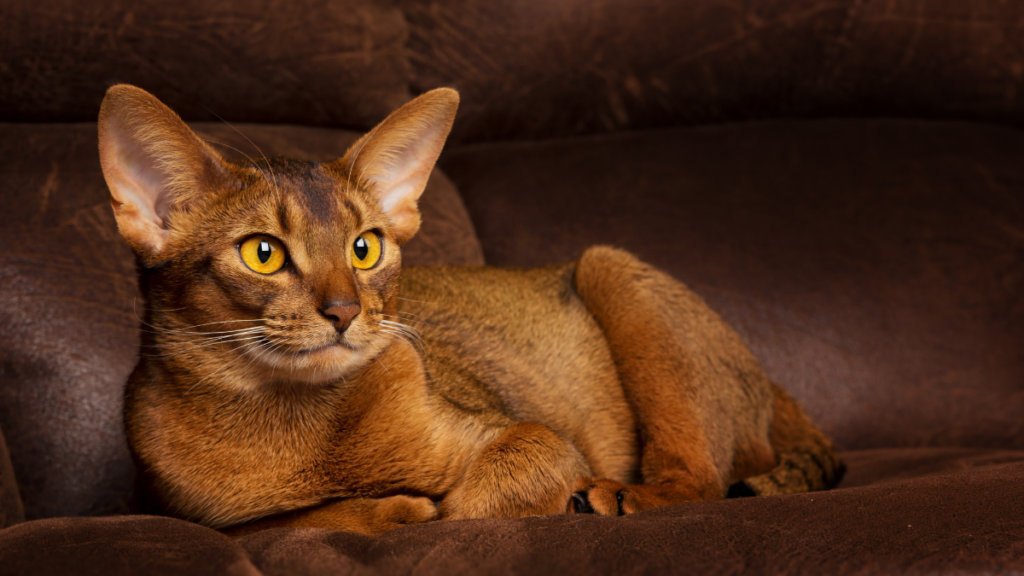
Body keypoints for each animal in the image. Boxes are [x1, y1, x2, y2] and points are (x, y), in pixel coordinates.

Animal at [99, 83, 843, 532]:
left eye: (365, 248)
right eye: (262, 253)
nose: (344, 311)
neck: (290, 422)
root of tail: (771, 382)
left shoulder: (530, 438)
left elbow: (476, 503)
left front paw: (435, 507)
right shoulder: (197, 514)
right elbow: (295, 521)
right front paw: (393, 508)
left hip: (609, 267)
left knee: (705, 480)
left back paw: (621, 495)